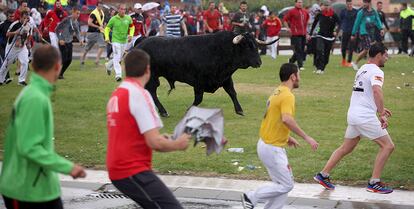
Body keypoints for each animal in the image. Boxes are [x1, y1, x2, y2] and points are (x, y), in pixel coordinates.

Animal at [135, 31, 278, 116]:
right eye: (247, 46)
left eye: (256, 45)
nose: (259, 62)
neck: (220, 50)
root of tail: (141, 43)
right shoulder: (198, 82)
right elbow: (198, 99)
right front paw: (188, 111)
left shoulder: (226, 78)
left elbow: (232, 93)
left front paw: (239, 110)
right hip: (152, 77)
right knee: (152, 92)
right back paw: (163, 111)